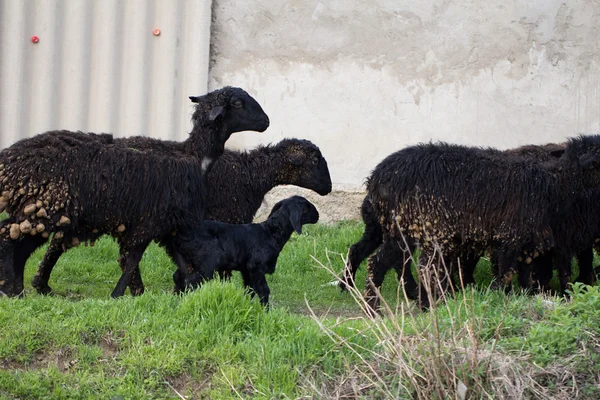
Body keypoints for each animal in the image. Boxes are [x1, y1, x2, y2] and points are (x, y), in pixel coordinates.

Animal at [0, 86, 268, 296]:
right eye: (238, 103)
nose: (266, 122)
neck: (194, 157)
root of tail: (8, 161)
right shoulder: (147, 222)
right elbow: (132, 260)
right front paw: (121, 294)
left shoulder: (171, 225)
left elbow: (183, 264)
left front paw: (186, 292)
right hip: (44, 207)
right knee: (8, 238)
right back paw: (11, 289)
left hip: (43, 211)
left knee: (22, 247)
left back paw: (20, 289)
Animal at [171, 195, 318, 304]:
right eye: (306, 209)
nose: (317, 216)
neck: (271, 232)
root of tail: (181, 235)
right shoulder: (255, 266)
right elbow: (264, 290)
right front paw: (265, 312)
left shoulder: (246, 270)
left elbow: (249, 290)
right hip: (206, 263)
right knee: (190, 282)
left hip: (186, 261)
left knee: (178, 277)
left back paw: (176, 301)